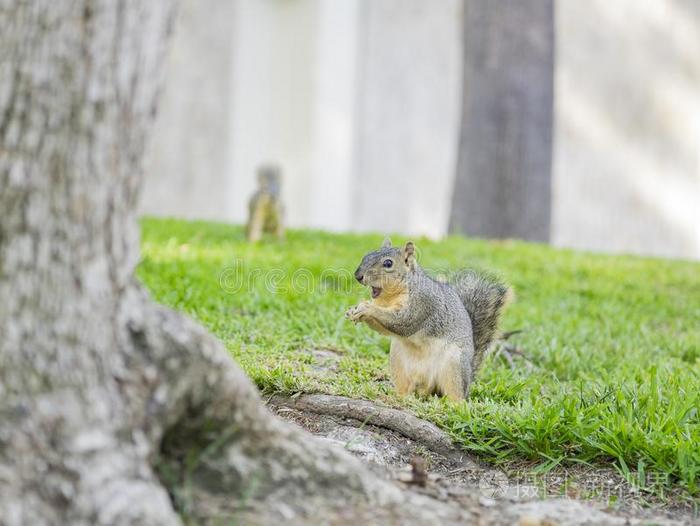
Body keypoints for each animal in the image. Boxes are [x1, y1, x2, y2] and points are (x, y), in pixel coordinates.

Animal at [348, 237, 512, 402]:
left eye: (388, 263)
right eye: (367, 255)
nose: (358, 276)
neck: (392, 296)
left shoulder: (422, 303)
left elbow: (403, 322)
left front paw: (367, 308)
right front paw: (353, 311)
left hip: (454, 365)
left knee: (456, 394)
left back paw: (454, 403)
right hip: (398, 361)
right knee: (406, 389)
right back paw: (397, 397)